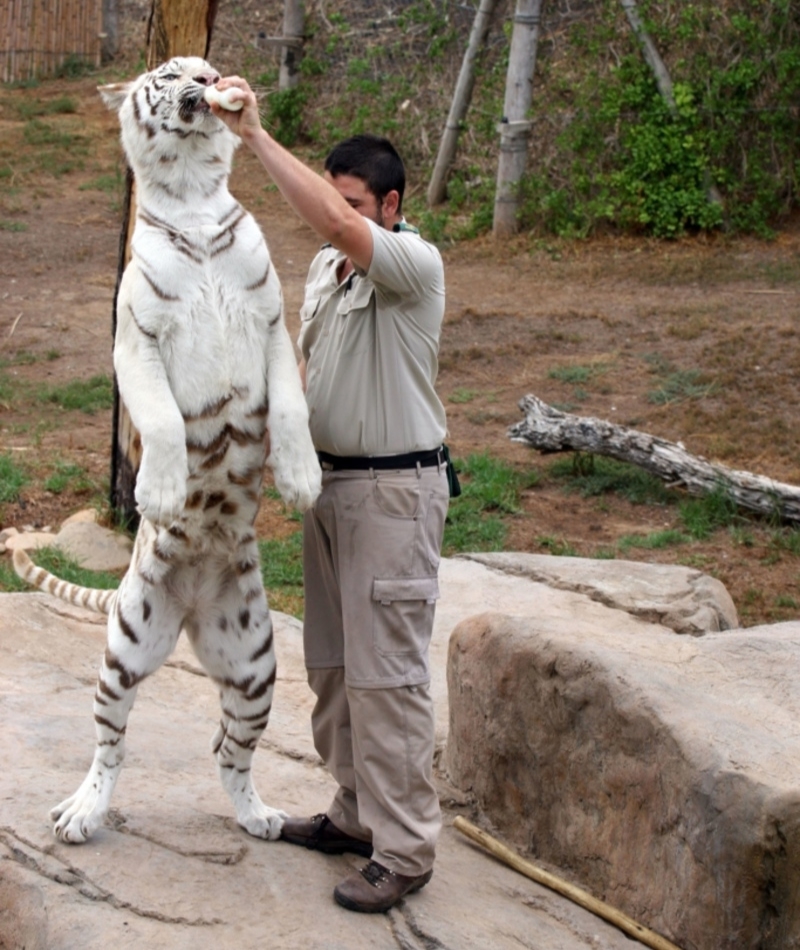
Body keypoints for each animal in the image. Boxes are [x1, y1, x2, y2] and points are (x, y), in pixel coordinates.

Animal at [12, 57, 322, 848]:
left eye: (210, 72)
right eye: (172, 73)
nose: (211, 81)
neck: (192, 199)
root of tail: (188, 609)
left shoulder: (273, 322)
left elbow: (295, 408)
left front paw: (303, 480)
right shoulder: (135, 337)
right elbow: (161, 421)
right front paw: (158, 491)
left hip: (254, 667)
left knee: (227, 750)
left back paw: (259, 816)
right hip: (124, 650)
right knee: (110, 744)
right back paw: (82, 814)